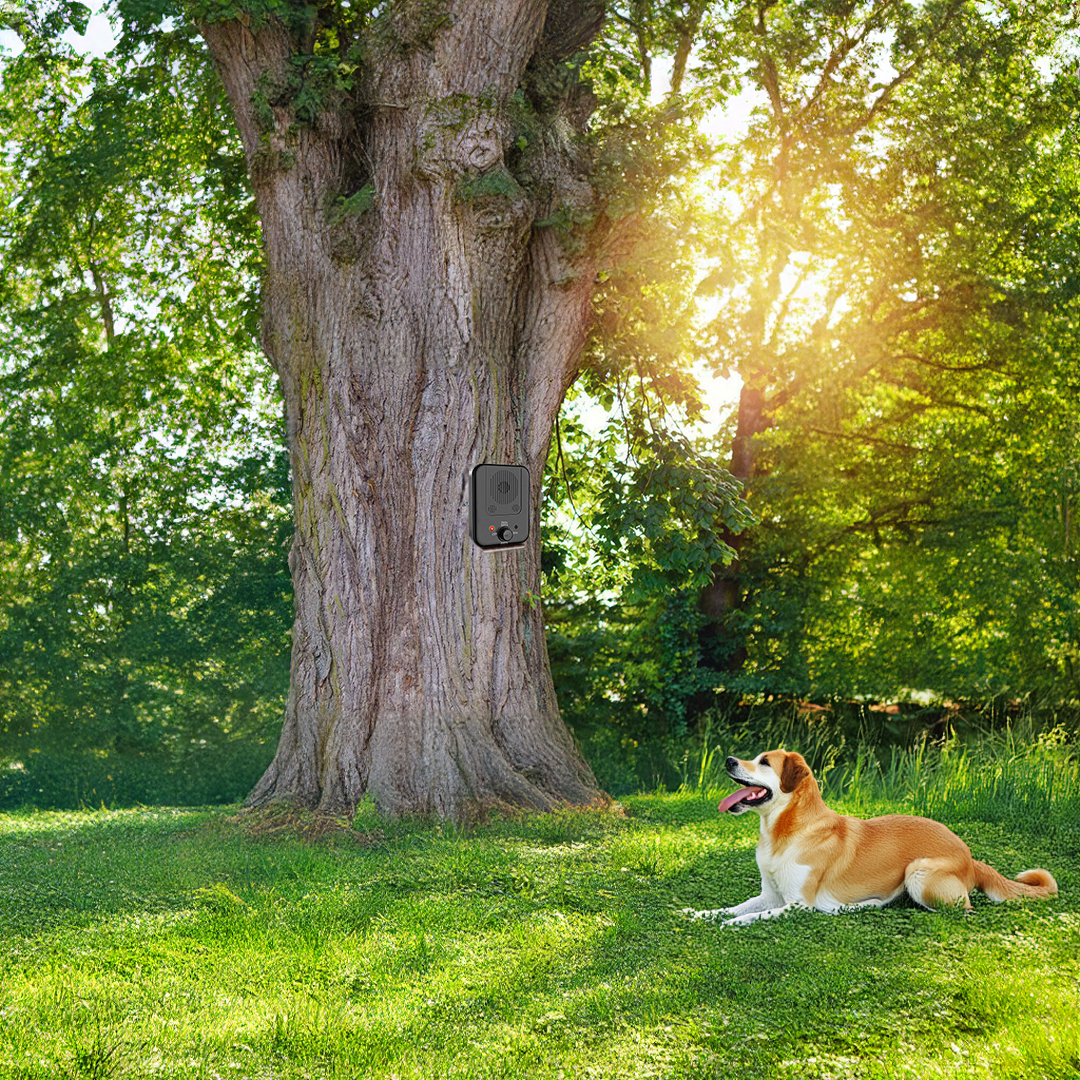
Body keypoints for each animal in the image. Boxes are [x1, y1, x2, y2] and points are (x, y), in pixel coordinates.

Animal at [686, 747, 1058, 924]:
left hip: (918, 873)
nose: (729, 759)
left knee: (962, 910)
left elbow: (752, 916)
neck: (785, 833)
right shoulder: (771, 896)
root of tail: (969, 856)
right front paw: (699, 914)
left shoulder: (798, 904)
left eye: (764, 762)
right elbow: (735, 907)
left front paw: (732, 924)